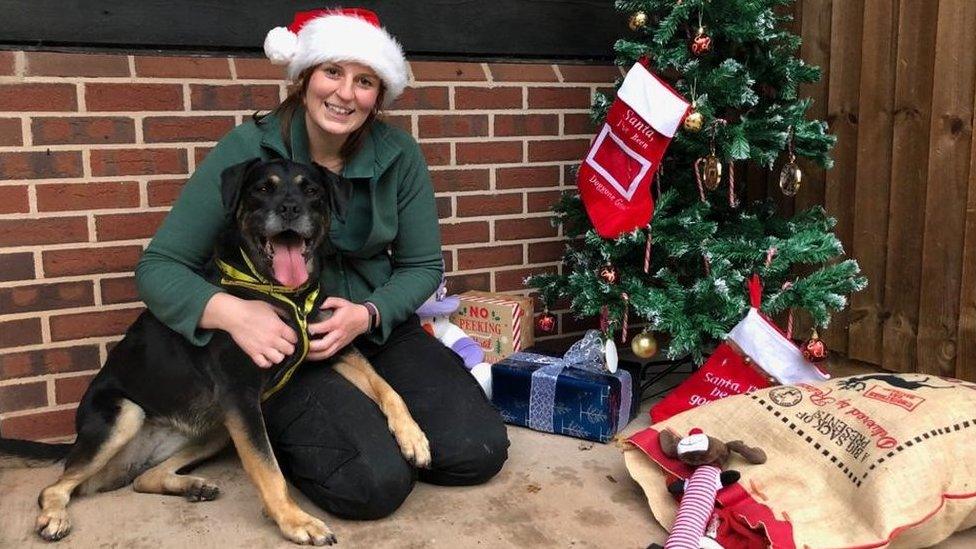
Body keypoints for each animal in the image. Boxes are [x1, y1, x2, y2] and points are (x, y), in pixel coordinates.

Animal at [0, 157, 428, 544]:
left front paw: (414, 437)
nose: (290, 209)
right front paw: (295, 521)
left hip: (216, 430)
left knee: (142, 478)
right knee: (56, 487)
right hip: (127, 414)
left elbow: (386, 387)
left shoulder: (332, 345)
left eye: (312, 191)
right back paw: (54, 517)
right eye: (263, 189)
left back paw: (191, 486)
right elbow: (268, 468)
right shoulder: (240, 396)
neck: (280, 292)